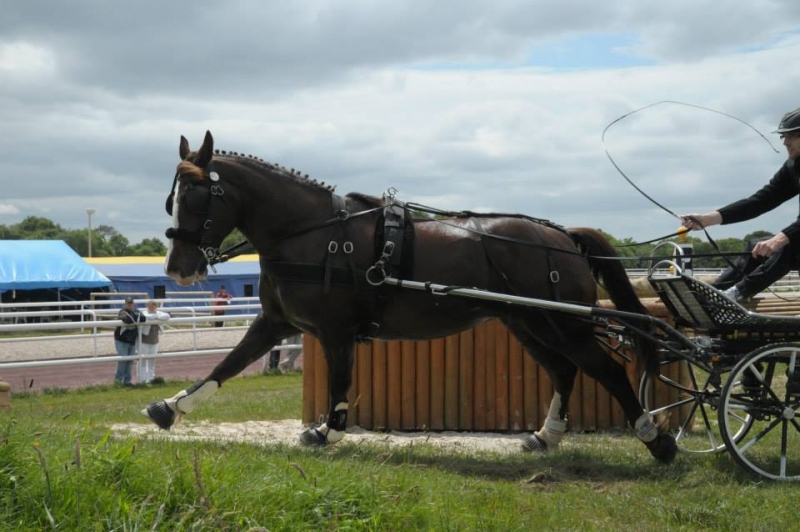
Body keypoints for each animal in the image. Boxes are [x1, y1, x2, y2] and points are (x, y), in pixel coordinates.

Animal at [142, 131, 676, 464]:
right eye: (172, 200)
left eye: (197, 198)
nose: (178, 270)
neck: (313, 234)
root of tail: (562, 236)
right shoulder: (276, 322)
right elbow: (227, 364)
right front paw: (170, 408)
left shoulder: (335, 332)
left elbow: (339, 384)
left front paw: (328, 430)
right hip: (527, 323)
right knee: (565, 370)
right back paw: (547, 436)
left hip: (562, 322)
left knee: (606, 370)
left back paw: (656, 440)